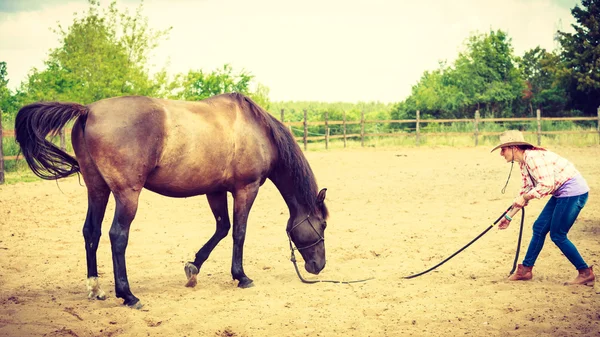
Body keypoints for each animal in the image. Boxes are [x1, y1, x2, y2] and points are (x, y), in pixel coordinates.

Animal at [14, 92, 330, 308]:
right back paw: (127, 295)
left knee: (91, 232)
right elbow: (238, 232)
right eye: (323, 225)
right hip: (127, 194)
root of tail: (88, 111)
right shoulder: (245, 189)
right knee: (117, 235)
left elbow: (222, 228)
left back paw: (96, 288)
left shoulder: (215, 190)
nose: (318, 266)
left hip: (98, 190)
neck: (256, 130)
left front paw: (193, 268)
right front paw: (241, 276)